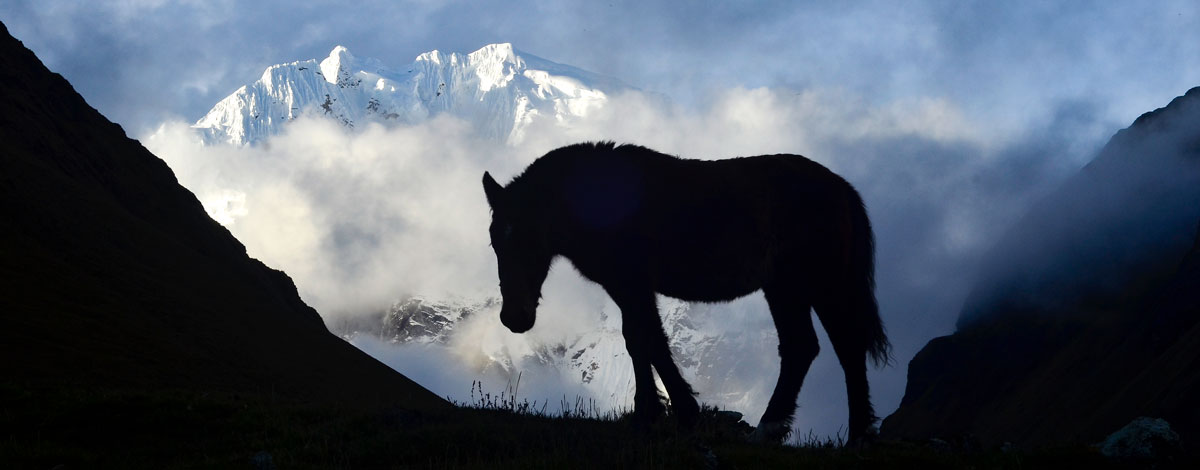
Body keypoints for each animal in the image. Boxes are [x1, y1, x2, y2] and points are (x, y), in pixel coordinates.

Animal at [480, 141, 892, 443]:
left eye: (533, 241)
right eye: (495, 242)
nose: (514, 318)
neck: (599, 200)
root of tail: (841, 189)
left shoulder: (633, 284)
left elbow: (649, 342)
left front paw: (673, 413)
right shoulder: (626, 288)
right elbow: (642, 342)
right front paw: (656, 413)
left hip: (807, 285)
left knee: (825, 348)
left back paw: (803, 431)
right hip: (797, 288)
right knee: (823, 347)